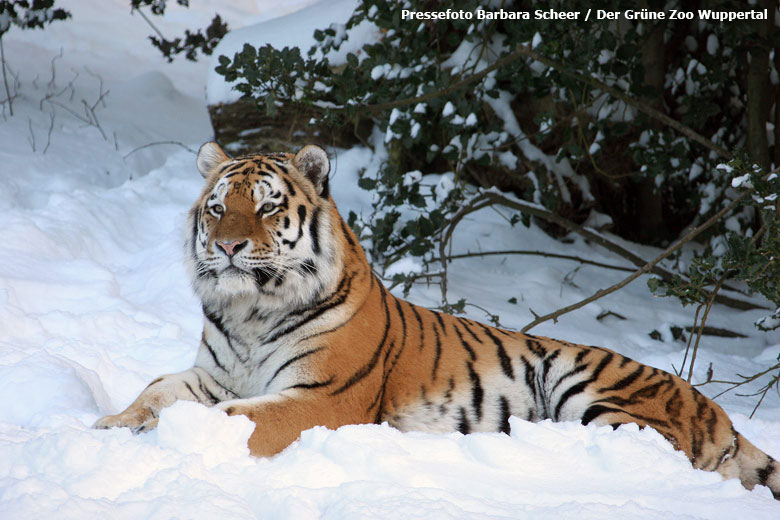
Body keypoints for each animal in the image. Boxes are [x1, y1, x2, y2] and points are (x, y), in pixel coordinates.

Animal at [96, 142, 780, 500]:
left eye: (265, 208)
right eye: (217, 208)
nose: (229, 246)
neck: (249, 312)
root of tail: (714, 411)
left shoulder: (323, 397)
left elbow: (234, 418)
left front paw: (161, 441)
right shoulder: (214, 375)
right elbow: (156, 391)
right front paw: (111, 426)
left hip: (592, 391)